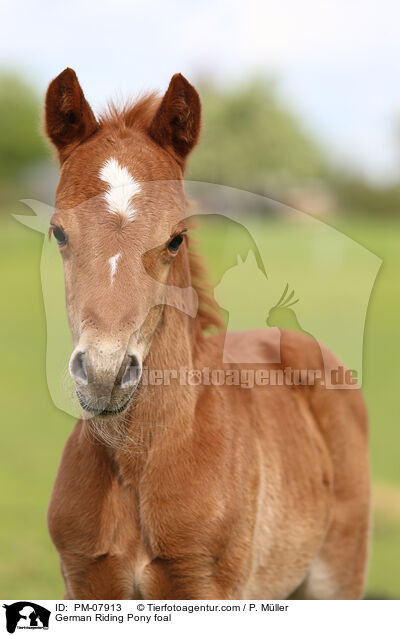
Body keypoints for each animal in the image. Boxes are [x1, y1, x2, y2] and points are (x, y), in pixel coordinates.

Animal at [43, 69, 368, 600]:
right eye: (59, 233)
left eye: (176, 239)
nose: (105, 374)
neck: (136, 464)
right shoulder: (86, 582)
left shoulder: (206, 586)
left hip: (337, 578)